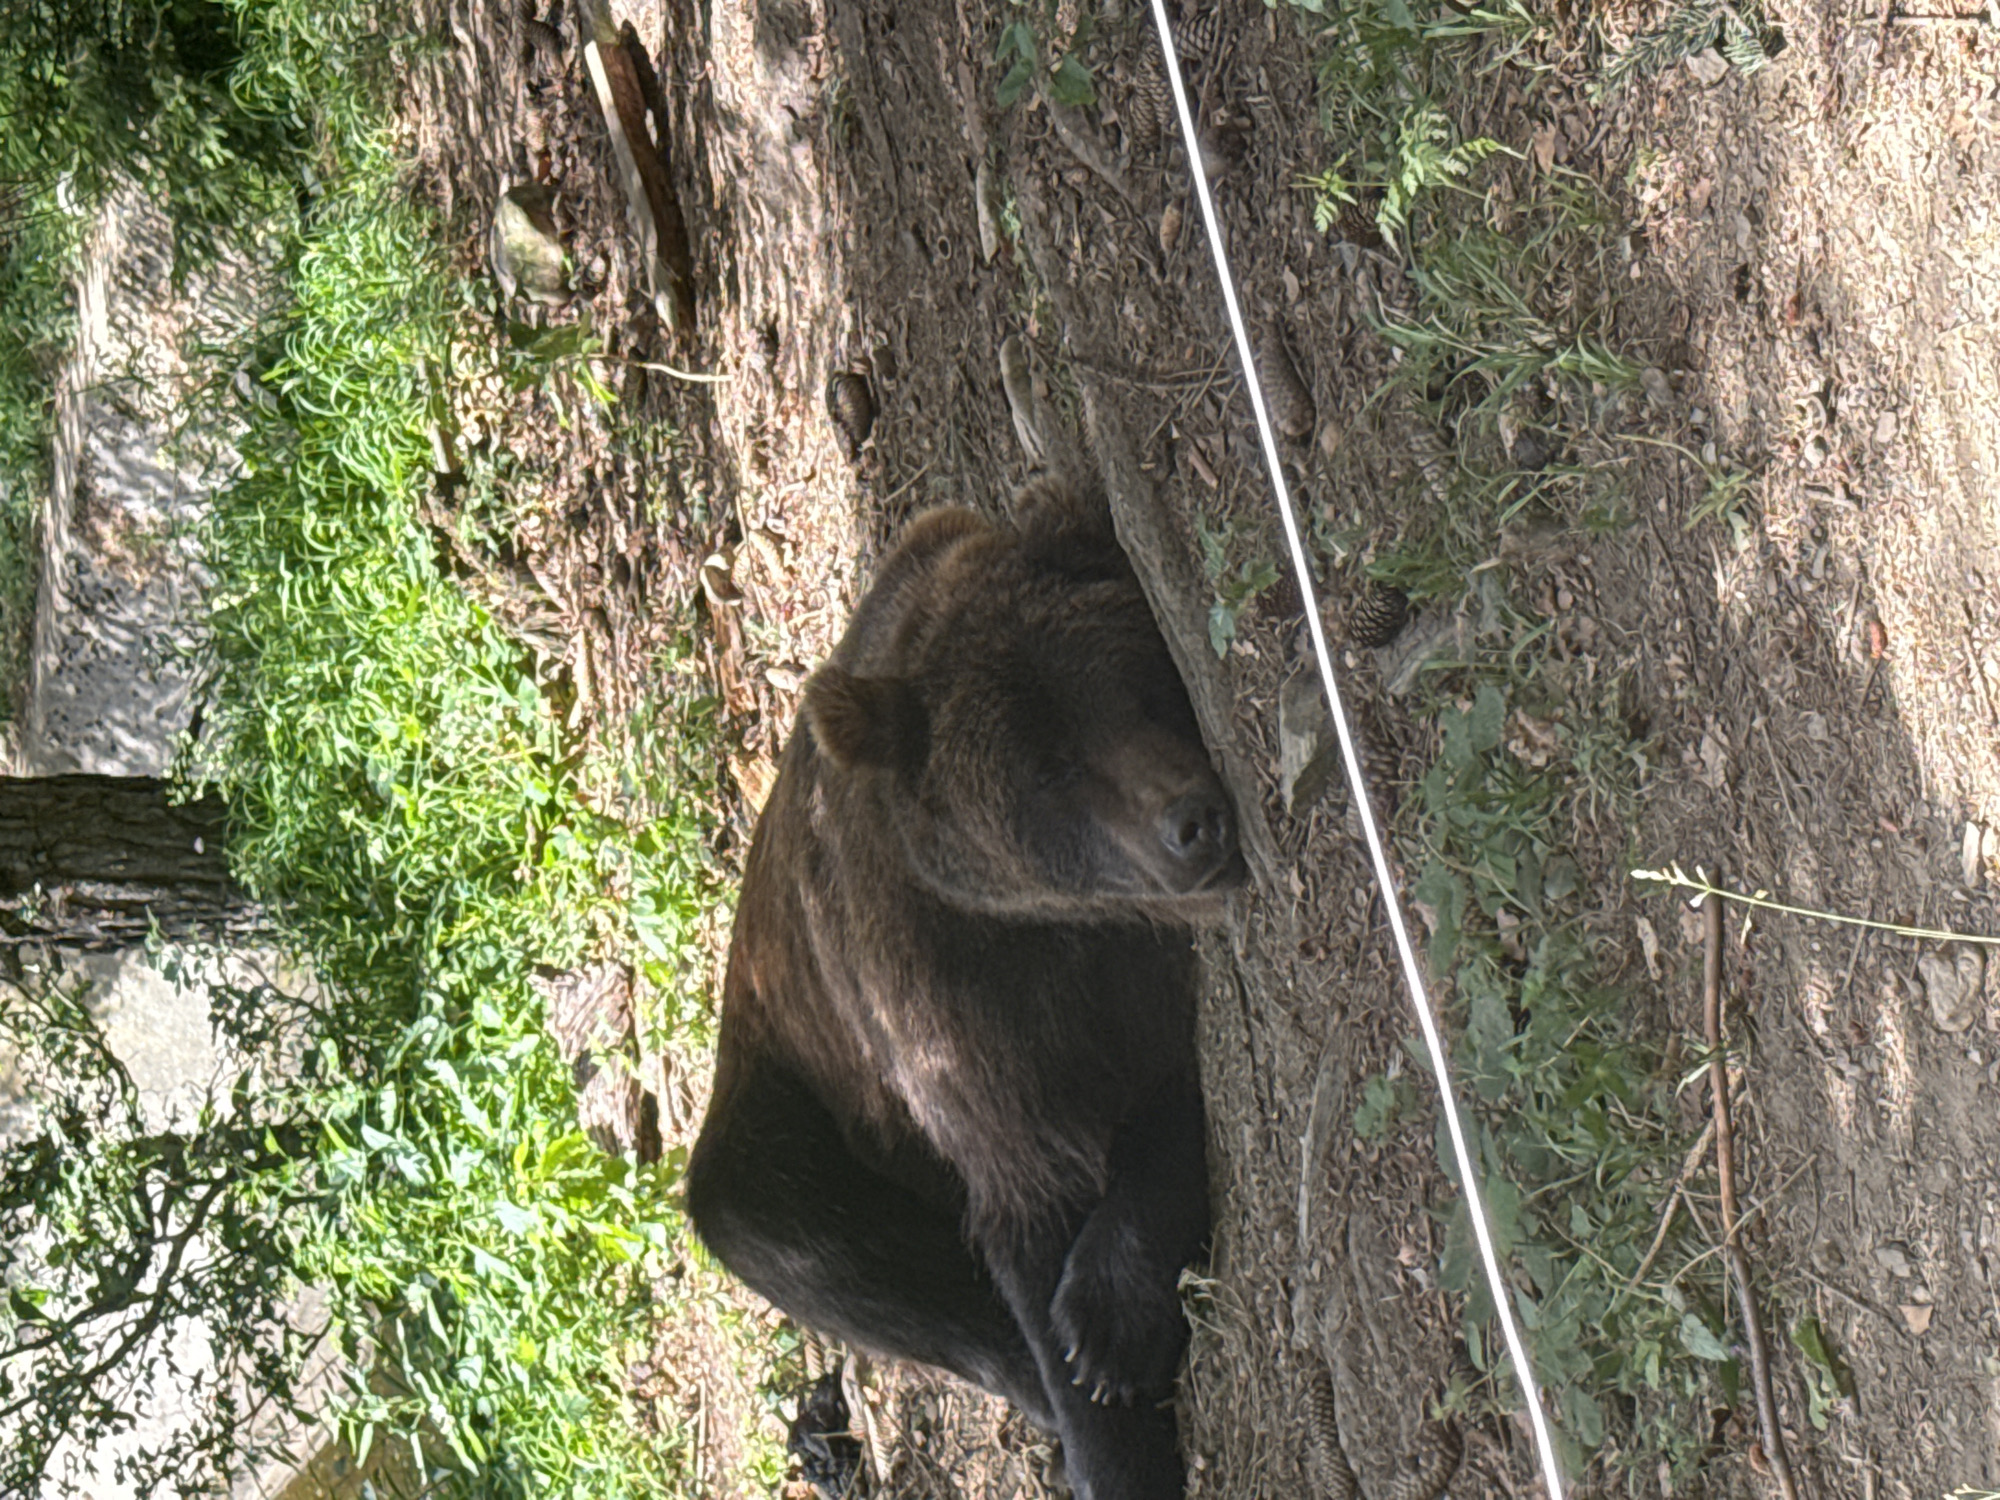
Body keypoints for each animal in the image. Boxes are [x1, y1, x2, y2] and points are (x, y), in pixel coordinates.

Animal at [686, 476, 1243, 1500]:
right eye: (1049, 771)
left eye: (1134, 684)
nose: (1191, 824)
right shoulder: (947, 1014)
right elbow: (1028, 1189)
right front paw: (1103, 1400)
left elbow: (1157, 1090)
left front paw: (1108, 1322)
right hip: (794, 1092)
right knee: (786, 1222)